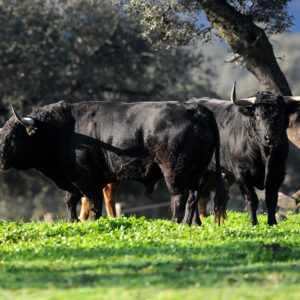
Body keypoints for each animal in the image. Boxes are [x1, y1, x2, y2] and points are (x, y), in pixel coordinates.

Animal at [0, 101, 226, 225]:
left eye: (12, 135)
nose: (0, 159)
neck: (63, 130)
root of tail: (196, 108)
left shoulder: (87, 179)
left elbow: (93, 204)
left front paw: (93, 224)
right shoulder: (73, 179)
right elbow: (70, 201)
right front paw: (73, 222)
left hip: (174, 169)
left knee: (179, 196)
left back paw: (175, 223)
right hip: (197, 171)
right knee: (193, 197)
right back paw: (190, 224)